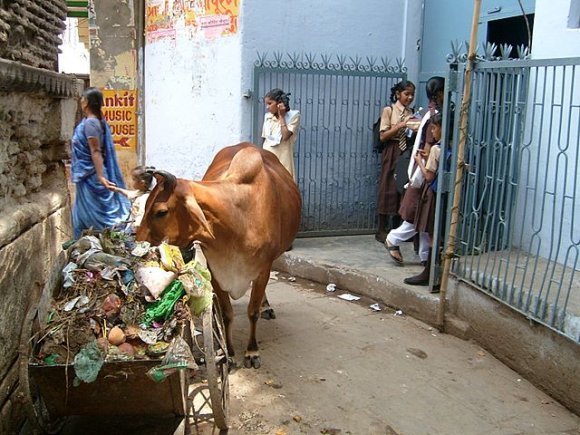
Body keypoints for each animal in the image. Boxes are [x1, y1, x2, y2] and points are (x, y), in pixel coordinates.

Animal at [135, 142, 300, 368]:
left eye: (161, 212)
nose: (137, 242)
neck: (238, 220)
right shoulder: (215, 270)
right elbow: (227, 314)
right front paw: (228, 352)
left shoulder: (262, 269)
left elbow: (252, 312)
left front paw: (251, 351)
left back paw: (266, 306)